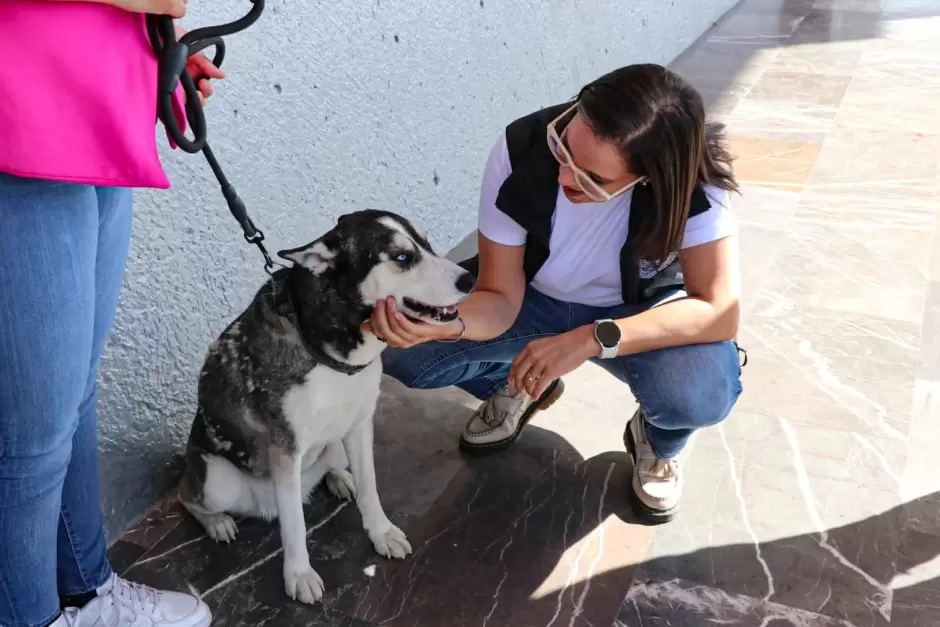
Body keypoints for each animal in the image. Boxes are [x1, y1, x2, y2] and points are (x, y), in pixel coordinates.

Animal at [179, 210, 474, 604]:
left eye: (427, 243)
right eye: (401, 257)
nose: (469, 279)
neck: (326, 346)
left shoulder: (361, 425)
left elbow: (370, 488)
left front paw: (381, 532)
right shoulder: (285, 450)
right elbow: (293, 526)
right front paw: (299, 575)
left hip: (334, 447)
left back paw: (338, 478)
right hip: (217, 482)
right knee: (186, 496)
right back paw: (217, 521)